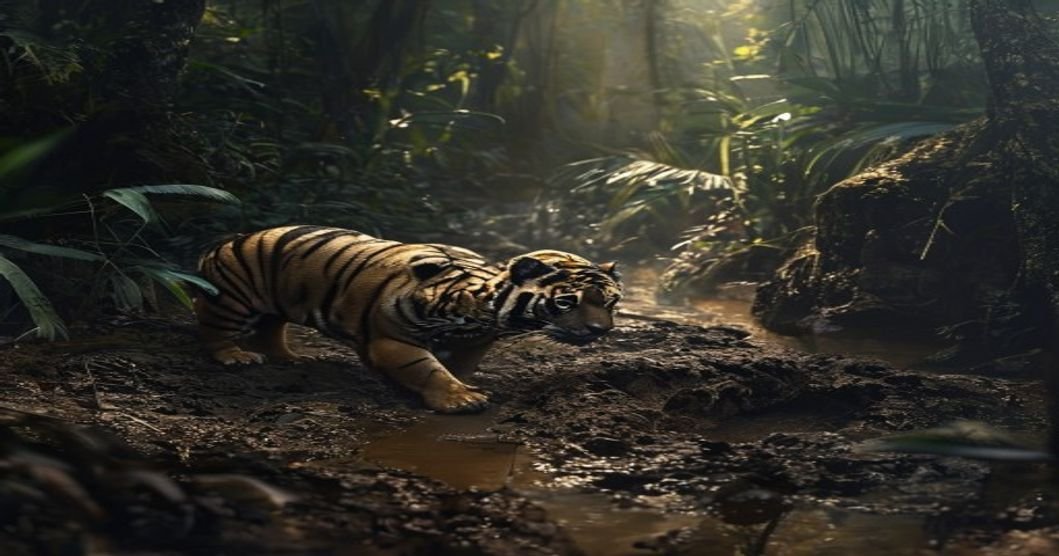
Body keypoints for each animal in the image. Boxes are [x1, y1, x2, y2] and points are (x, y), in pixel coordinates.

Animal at [194, 225, 623, 413]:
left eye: (612, 302)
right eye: (566, 303)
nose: (601, 330)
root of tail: (224, 241)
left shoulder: (476, 340)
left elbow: (460, 364)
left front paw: (463, 383)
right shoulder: (393, 339)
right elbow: (426, 368)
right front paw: (461, 398)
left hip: (275, 305)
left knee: (271, 327)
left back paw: (289, 357)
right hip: (232, 299)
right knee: (213, 330)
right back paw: (235, 357)